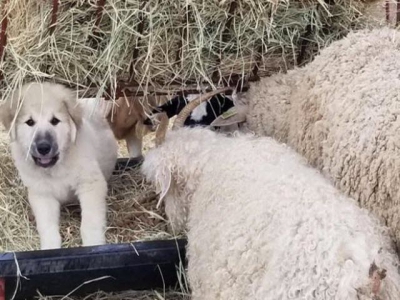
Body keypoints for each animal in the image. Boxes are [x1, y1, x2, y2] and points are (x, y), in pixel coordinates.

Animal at [0, 81, 118, 250]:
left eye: (55, 121)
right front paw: (49, 248)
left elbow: (89, 223)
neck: (56, 168)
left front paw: (93, 245)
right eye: (30, 122)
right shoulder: (42, 195)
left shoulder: (90, 185)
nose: (43, 147)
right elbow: (48, 228)